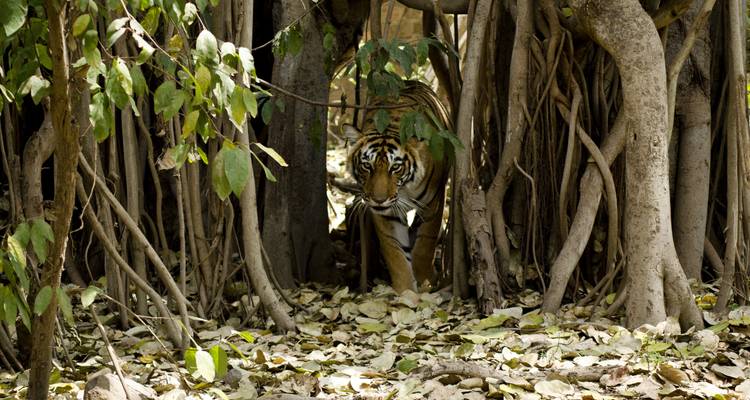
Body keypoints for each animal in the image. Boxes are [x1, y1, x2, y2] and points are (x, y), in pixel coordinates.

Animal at [344, 80, 452, 294]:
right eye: (367, 166)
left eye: (395, 167)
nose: (379, 200)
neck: (404, 190)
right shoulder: (386, 215)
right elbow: (395, 253)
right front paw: (406, 292)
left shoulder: (434, 203)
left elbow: (425, 243)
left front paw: (425, 283)